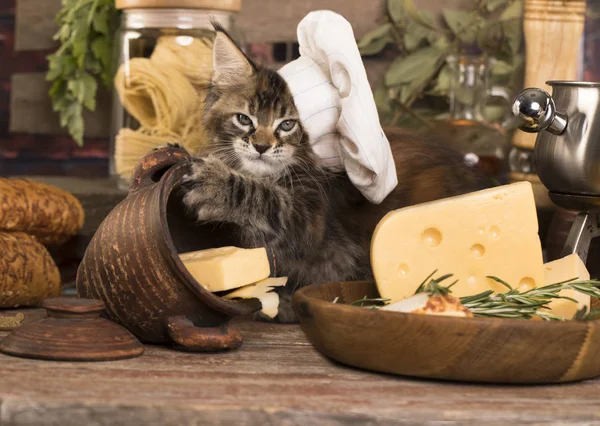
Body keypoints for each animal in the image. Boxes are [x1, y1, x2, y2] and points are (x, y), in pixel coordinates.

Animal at [180, 25, 486, 322]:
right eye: (244, 119)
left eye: (287, 124)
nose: (261, 146)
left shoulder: (310, 220)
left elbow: (268, 200)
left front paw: (216, 185)